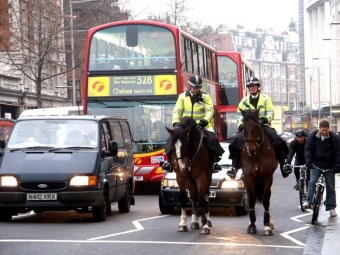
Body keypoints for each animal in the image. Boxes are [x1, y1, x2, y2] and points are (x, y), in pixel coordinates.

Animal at [240, 108, 278, 236]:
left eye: (257, 126)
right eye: (243, 127)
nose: (250, 149)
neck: (256, 156)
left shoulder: (267, 177)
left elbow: (266, 200)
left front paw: (266, 226)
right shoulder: (248, 178)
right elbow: (251, 199)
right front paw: (252, 225)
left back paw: (270, 223)